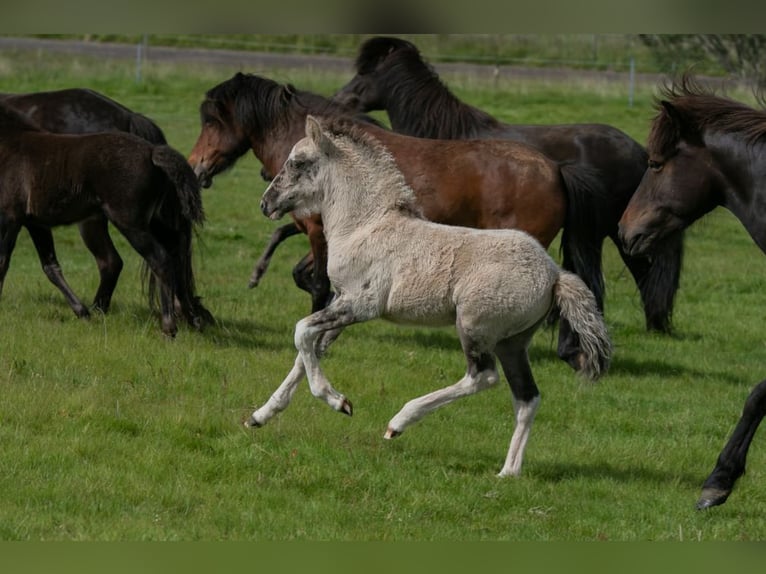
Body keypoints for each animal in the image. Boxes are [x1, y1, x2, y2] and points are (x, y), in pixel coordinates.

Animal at [188, 72, 610, 372]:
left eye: (213, 120)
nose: (196, 167)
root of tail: (555, 168)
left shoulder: (316, 231)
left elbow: (315, 281)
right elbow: (298, 264)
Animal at [248, 115, 612, 477]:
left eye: (298, 162)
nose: (265, 204)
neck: (364, 225)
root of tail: (554, 275)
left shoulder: (361, 305)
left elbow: (302, 332)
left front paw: (338, 402)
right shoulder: (341, 302)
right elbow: (309, 351)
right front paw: (260, 415)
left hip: (474, 325)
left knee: (483, 376)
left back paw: (399, 422)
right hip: (513, 342)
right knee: (527, 397)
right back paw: (507, 472)